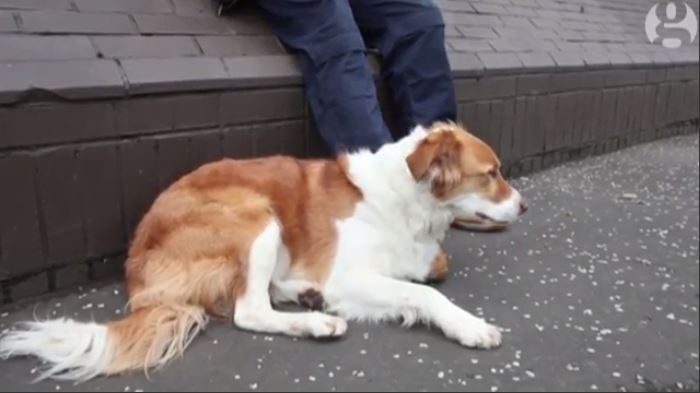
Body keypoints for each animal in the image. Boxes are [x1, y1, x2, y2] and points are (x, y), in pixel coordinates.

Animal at [0, 121, 524, 380]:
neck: (409, 196)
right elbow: (425, 293)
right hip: (257, 217)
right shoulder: (348, 275)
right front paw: (469, 326)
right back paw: (316, 321)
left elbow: (429, 276)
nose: (523, 204)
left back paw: (305, 297)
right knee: (249, 311)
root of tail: (137, 276)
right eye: (492, 173)